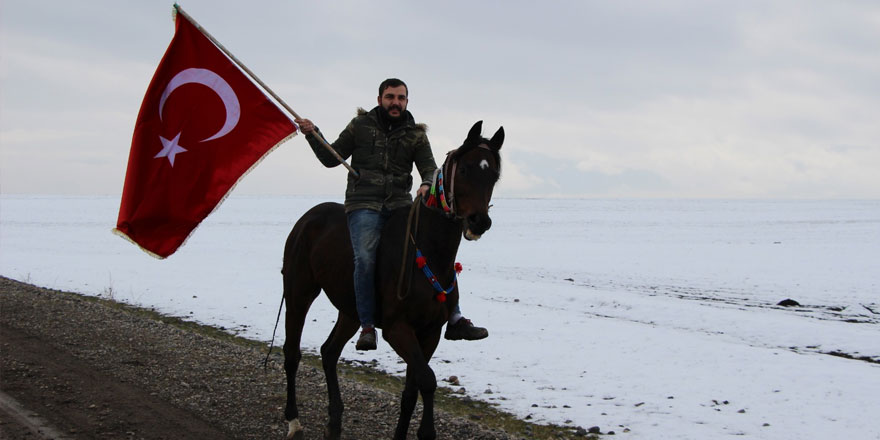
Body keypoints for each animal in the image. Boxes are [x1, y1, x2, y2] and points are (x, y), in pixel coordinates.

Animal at [282, 121, 502, 440]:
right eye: (464, 170)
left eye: (494, 174)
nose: (479, 222)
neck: (427, 249)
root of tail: (308, 219)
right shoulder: (398, 329)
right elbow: (427, 380)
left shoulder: (429, 332)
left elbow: (412, 390)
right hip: (299, 292)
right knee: (291, 353)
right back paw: (293, 421)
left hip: (351, 311)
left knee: (329, 352)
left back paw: (335, 420)